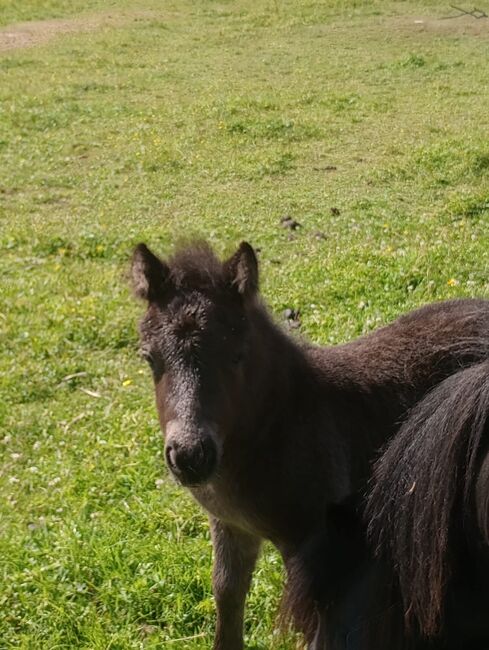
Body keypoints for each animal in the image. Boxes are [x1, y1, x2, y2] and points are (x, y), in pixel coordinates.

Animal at [132, 240, 488, 644]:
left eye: (237, 356)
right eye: (149, 358)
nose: (190, 456)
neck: (277, 424)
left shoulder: (317, 547)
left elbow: (319, 625)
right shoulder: (230, 526)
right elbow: (226, 596)